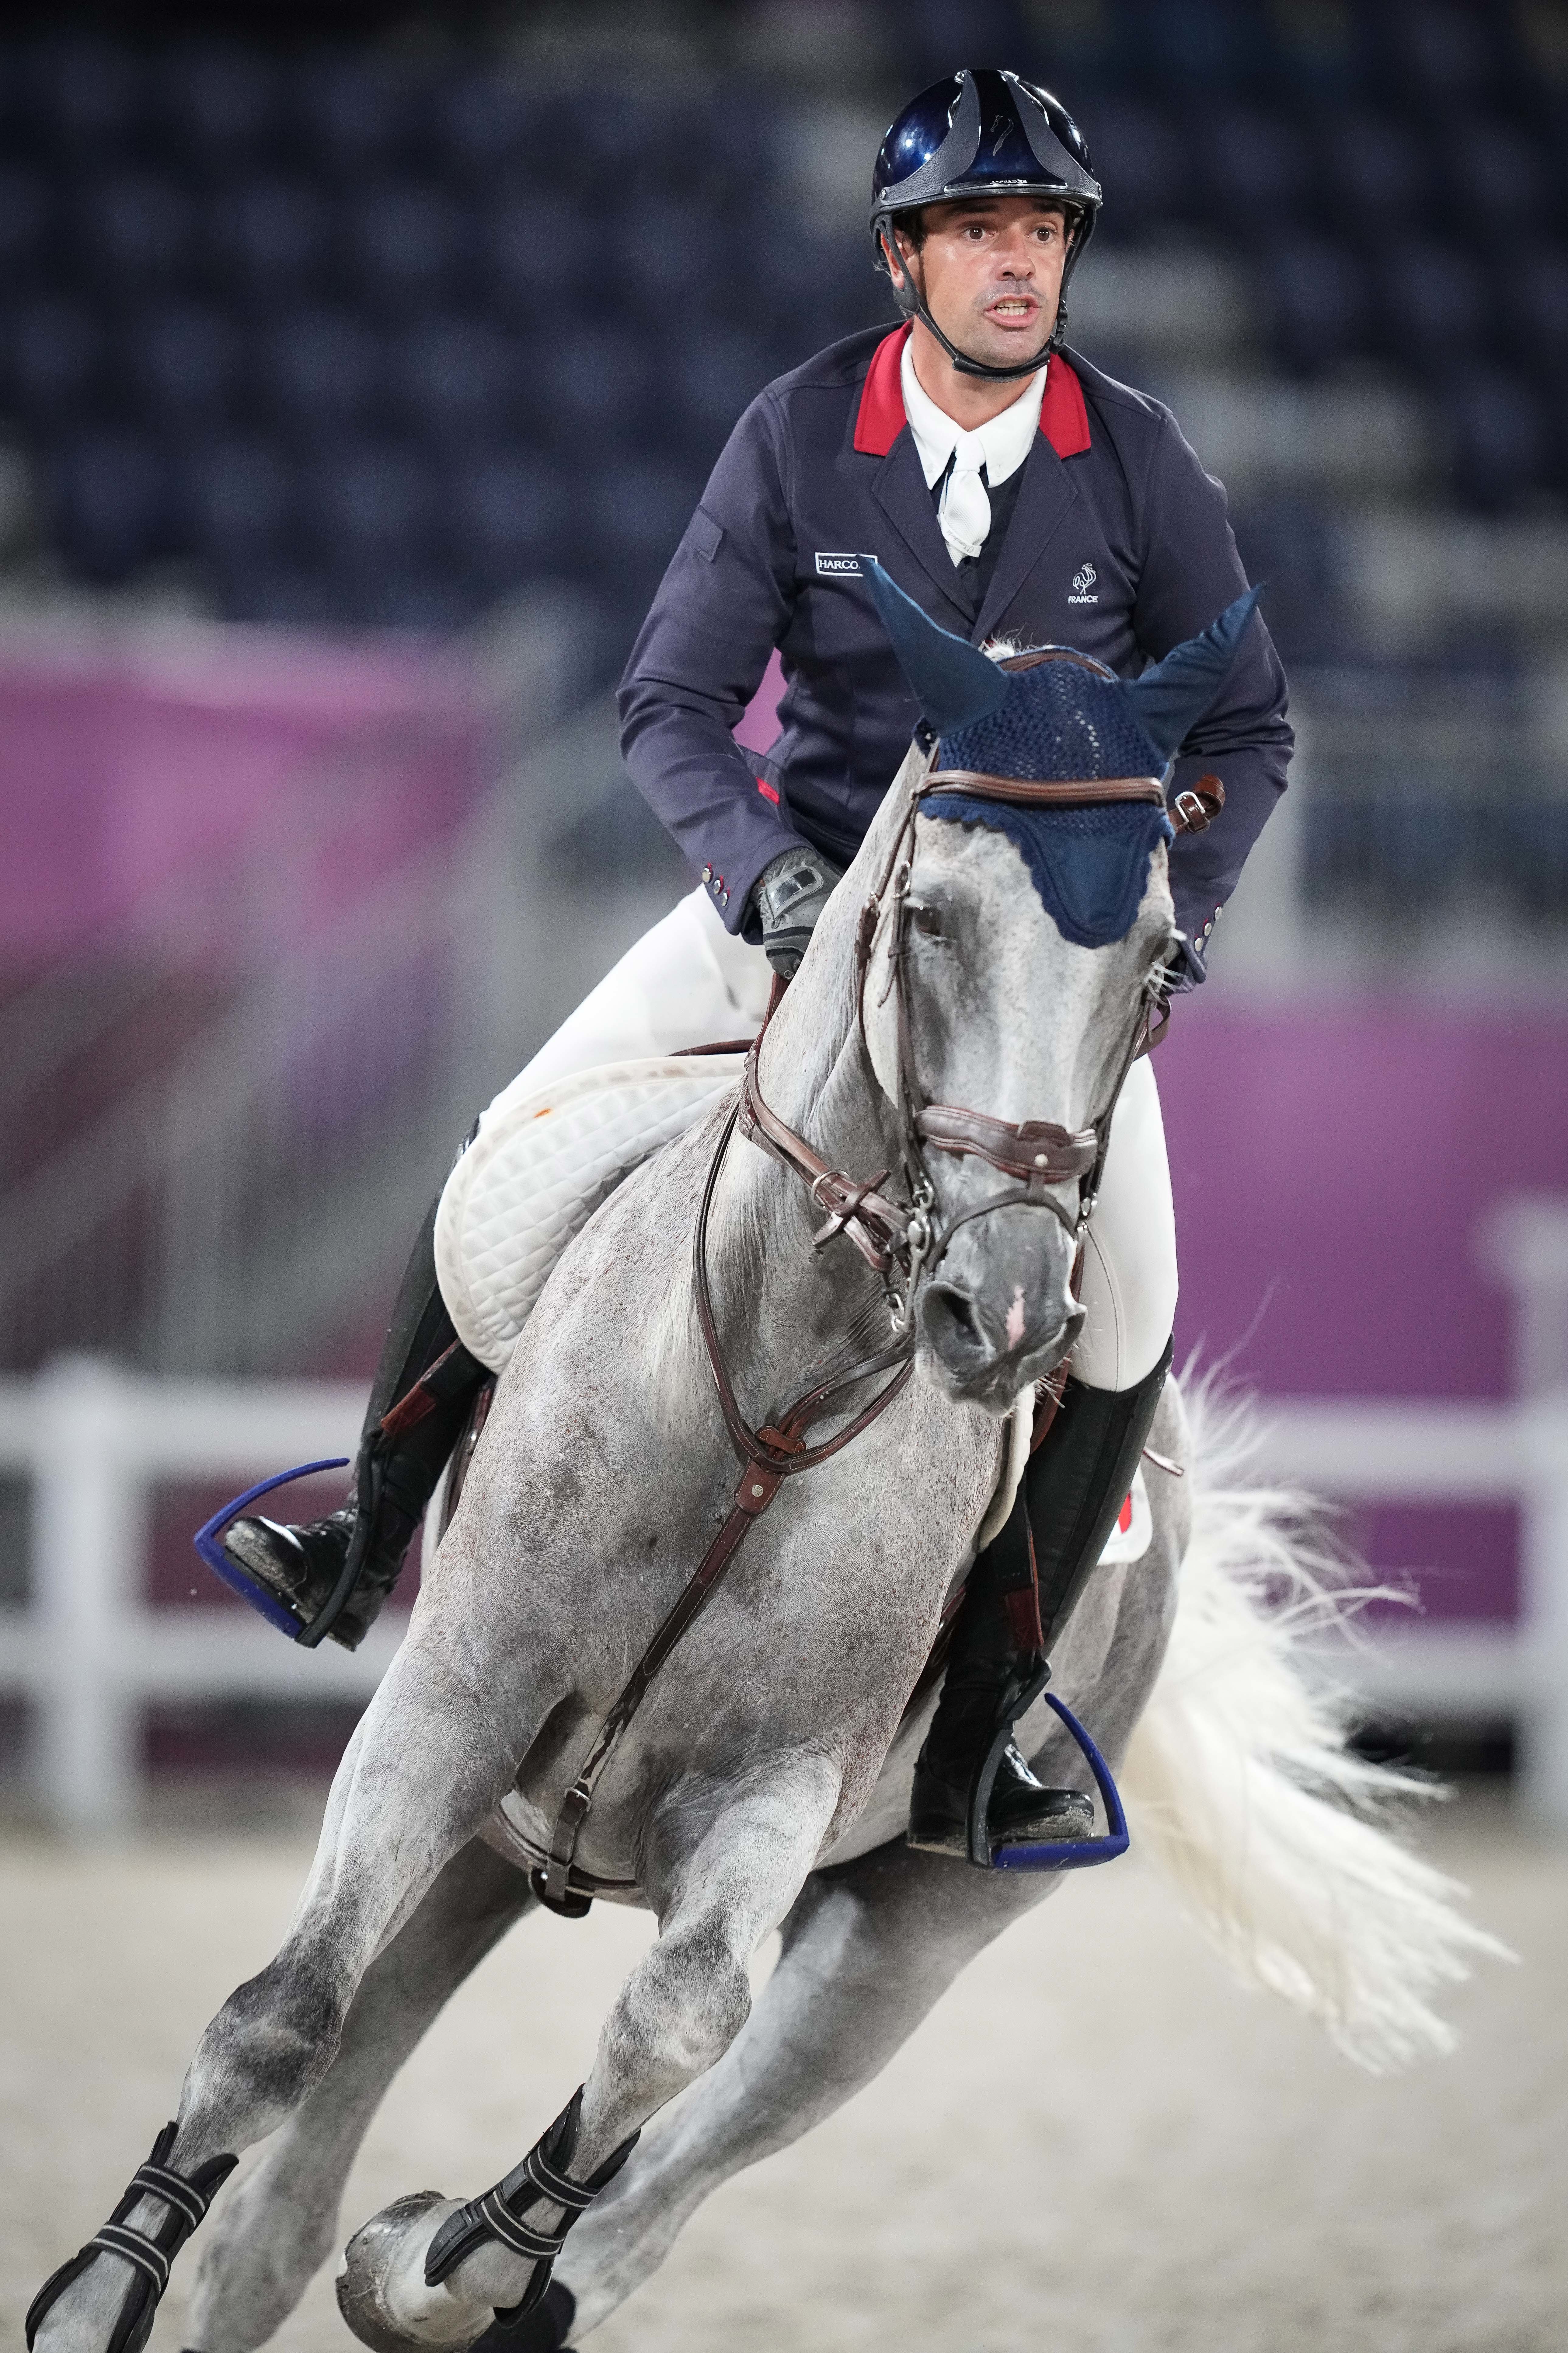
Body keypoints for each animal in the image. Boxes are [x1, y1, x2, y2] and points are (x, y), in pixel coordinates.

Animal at [27, 706, 1495, 2353]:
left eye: (1160, 964)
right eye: (928, 920)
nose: (1004, 1313)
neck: (773, 1391)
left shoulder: (776, 1786)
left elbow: (667, 2027)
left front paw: (458, 2249)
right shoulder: (453, 1702)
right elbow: (279, 2023)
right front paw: (96, 2296)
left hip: (902, 1939)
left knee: (642, 2199)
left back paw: (450, 2265)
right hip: (491, 1838)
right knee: (294, 2200)